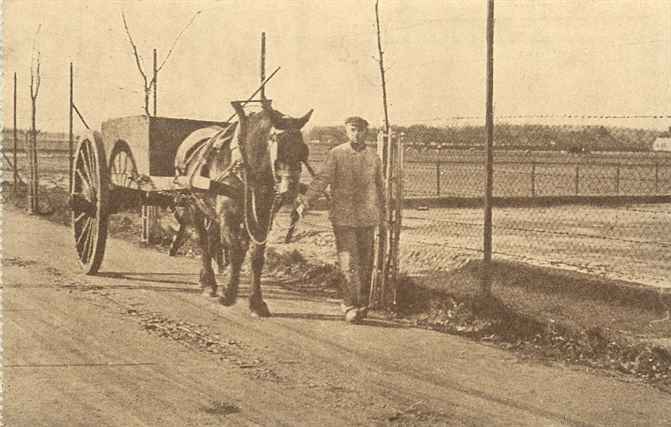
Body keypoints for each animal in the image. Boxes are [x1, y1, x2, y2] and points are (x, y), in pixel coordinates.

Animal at [176, 103, 312, 318]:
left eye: (303, 149)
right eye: (279, 145)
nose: (290, 190)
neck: (247, 166)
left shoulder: (261, 217)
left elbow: (256, 257)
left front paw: (256, 302)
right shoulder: (228, 215)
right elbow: (236, 251)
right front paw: (229, 292)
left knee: (212, 238)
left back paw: (206, 279)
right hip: (193, 204)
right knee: (203, 242)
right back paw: (209, 283)